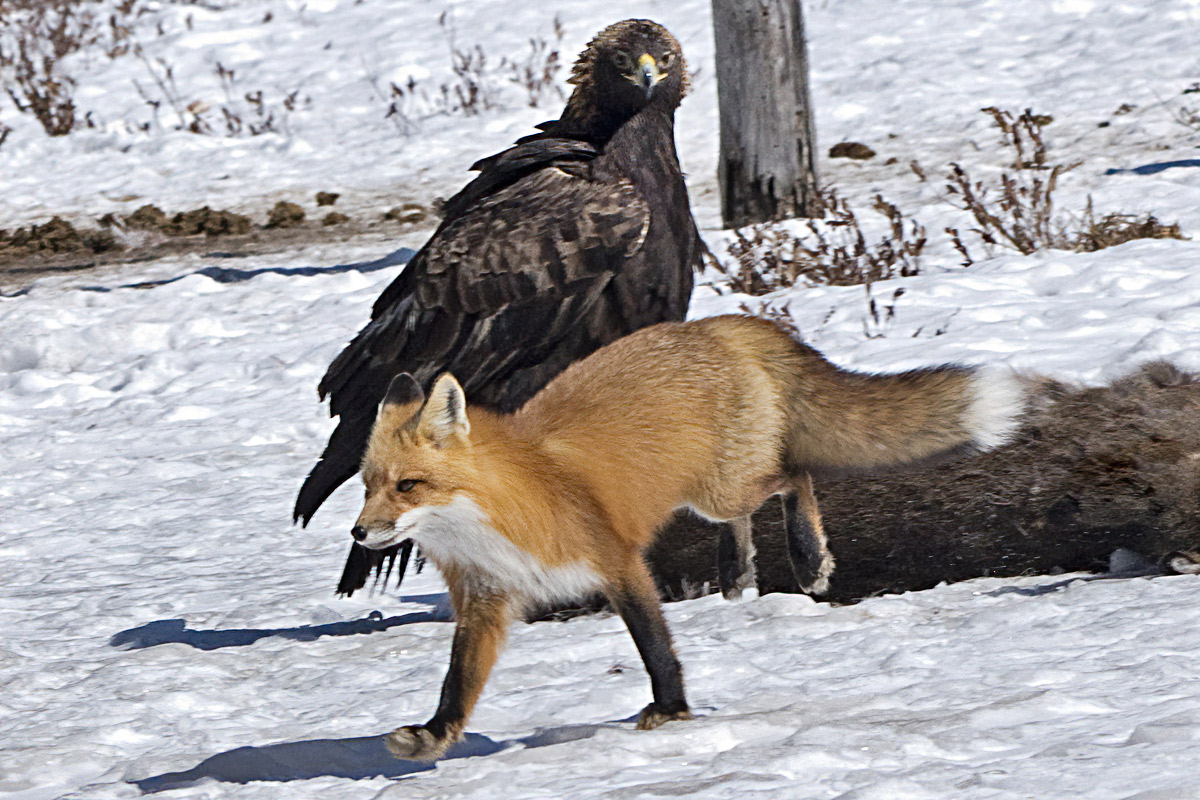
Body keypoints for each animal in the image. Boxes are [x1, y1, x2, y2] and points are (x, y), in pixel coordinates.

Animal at [350, 313, 1024, 761]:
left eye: (408, 486)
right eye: (367, 485)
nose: (359, 533)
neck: (494, 515)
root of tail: (715, 324)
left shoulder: (618, 563)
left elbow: (655, 646)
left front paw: (672, 710)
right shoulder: (487, 599)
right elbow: (458, 681)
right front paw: (434, 735)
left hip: (725, 486)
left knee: (794, 475)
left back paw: (808, 559)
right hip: (711, 495)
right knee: (752, 514)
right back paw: (737, 570)